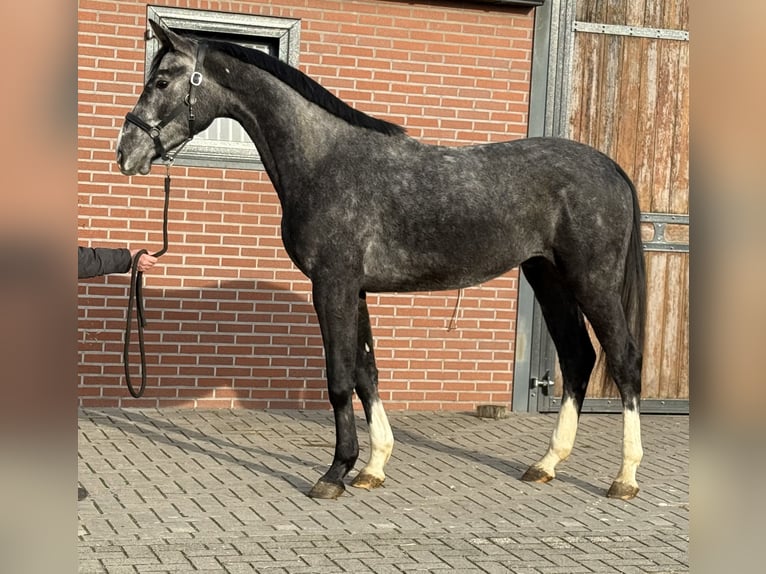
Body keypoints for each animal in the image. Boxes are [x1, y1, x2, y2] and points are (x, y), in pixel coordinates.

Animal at [116, 21, 647, 501]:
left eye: (161, 81)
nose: (125, 152)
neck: (325, 161)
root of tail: (612, 168)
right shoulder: (355, 290)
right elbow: (366, 373)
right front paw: (372, 467)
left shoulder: (331, 285)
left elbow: (338, 378)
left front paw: (335, 473)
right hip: (548, 276)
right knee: (578, 358)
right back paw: (546, 464)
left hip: (592, 281)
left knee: (623, 360)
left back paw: (624, 478)